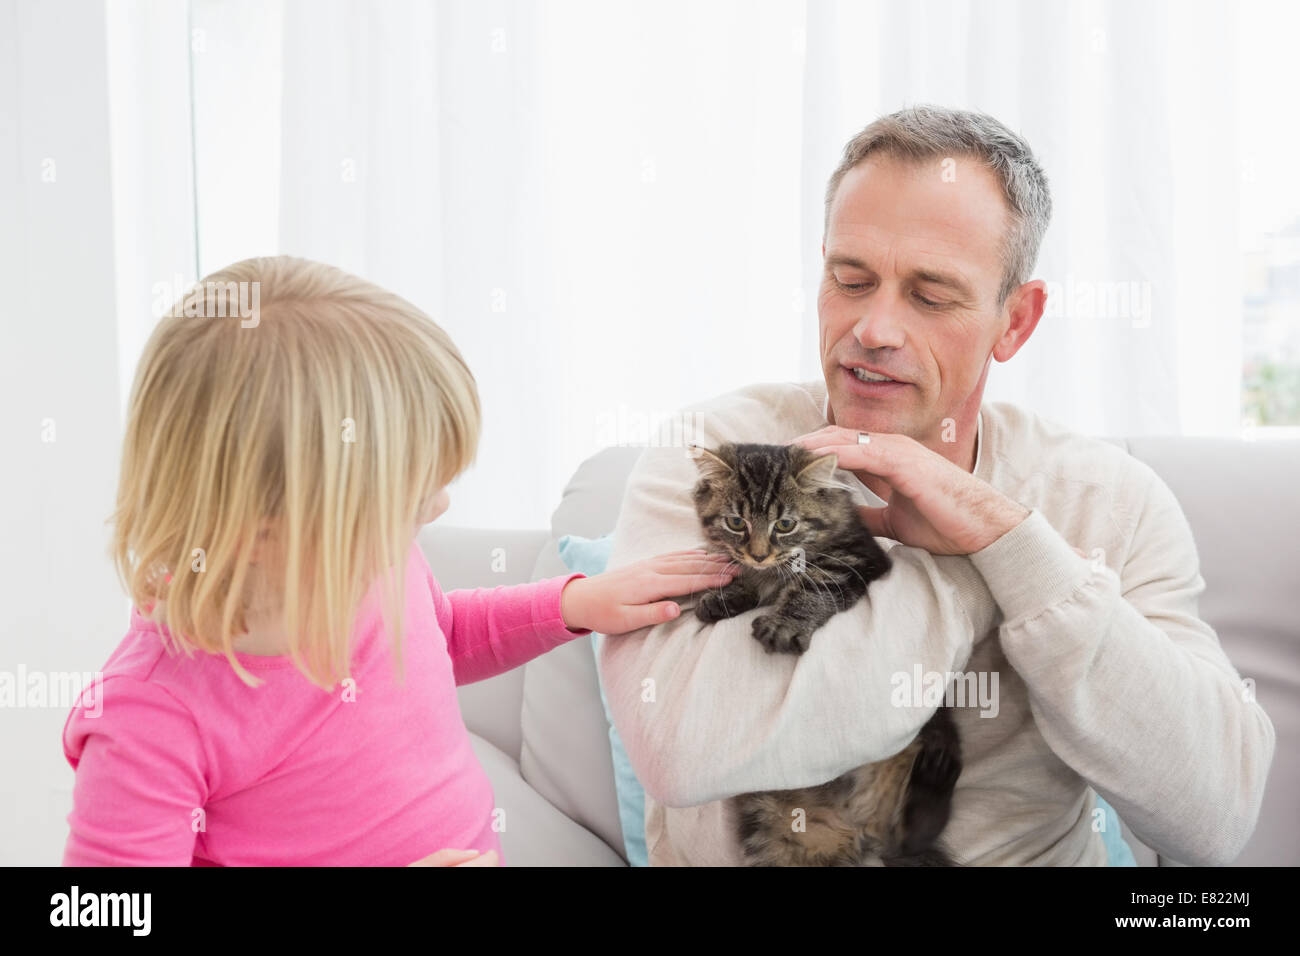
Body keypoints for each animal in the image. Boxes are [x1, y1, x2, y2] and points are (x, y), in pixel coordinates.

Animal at [691, 442, 967, 868]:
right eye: (736, 523)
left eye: (785, 525)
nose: (758, 554)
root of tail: (854, 830)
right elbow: (746, 581)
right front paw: (724, 597)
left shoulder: (853, 563)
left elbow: (809, 588)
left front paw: (783, 624)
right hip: (769, 826)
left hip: (931, 729)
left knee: (914, 834)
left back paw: (936, 775)